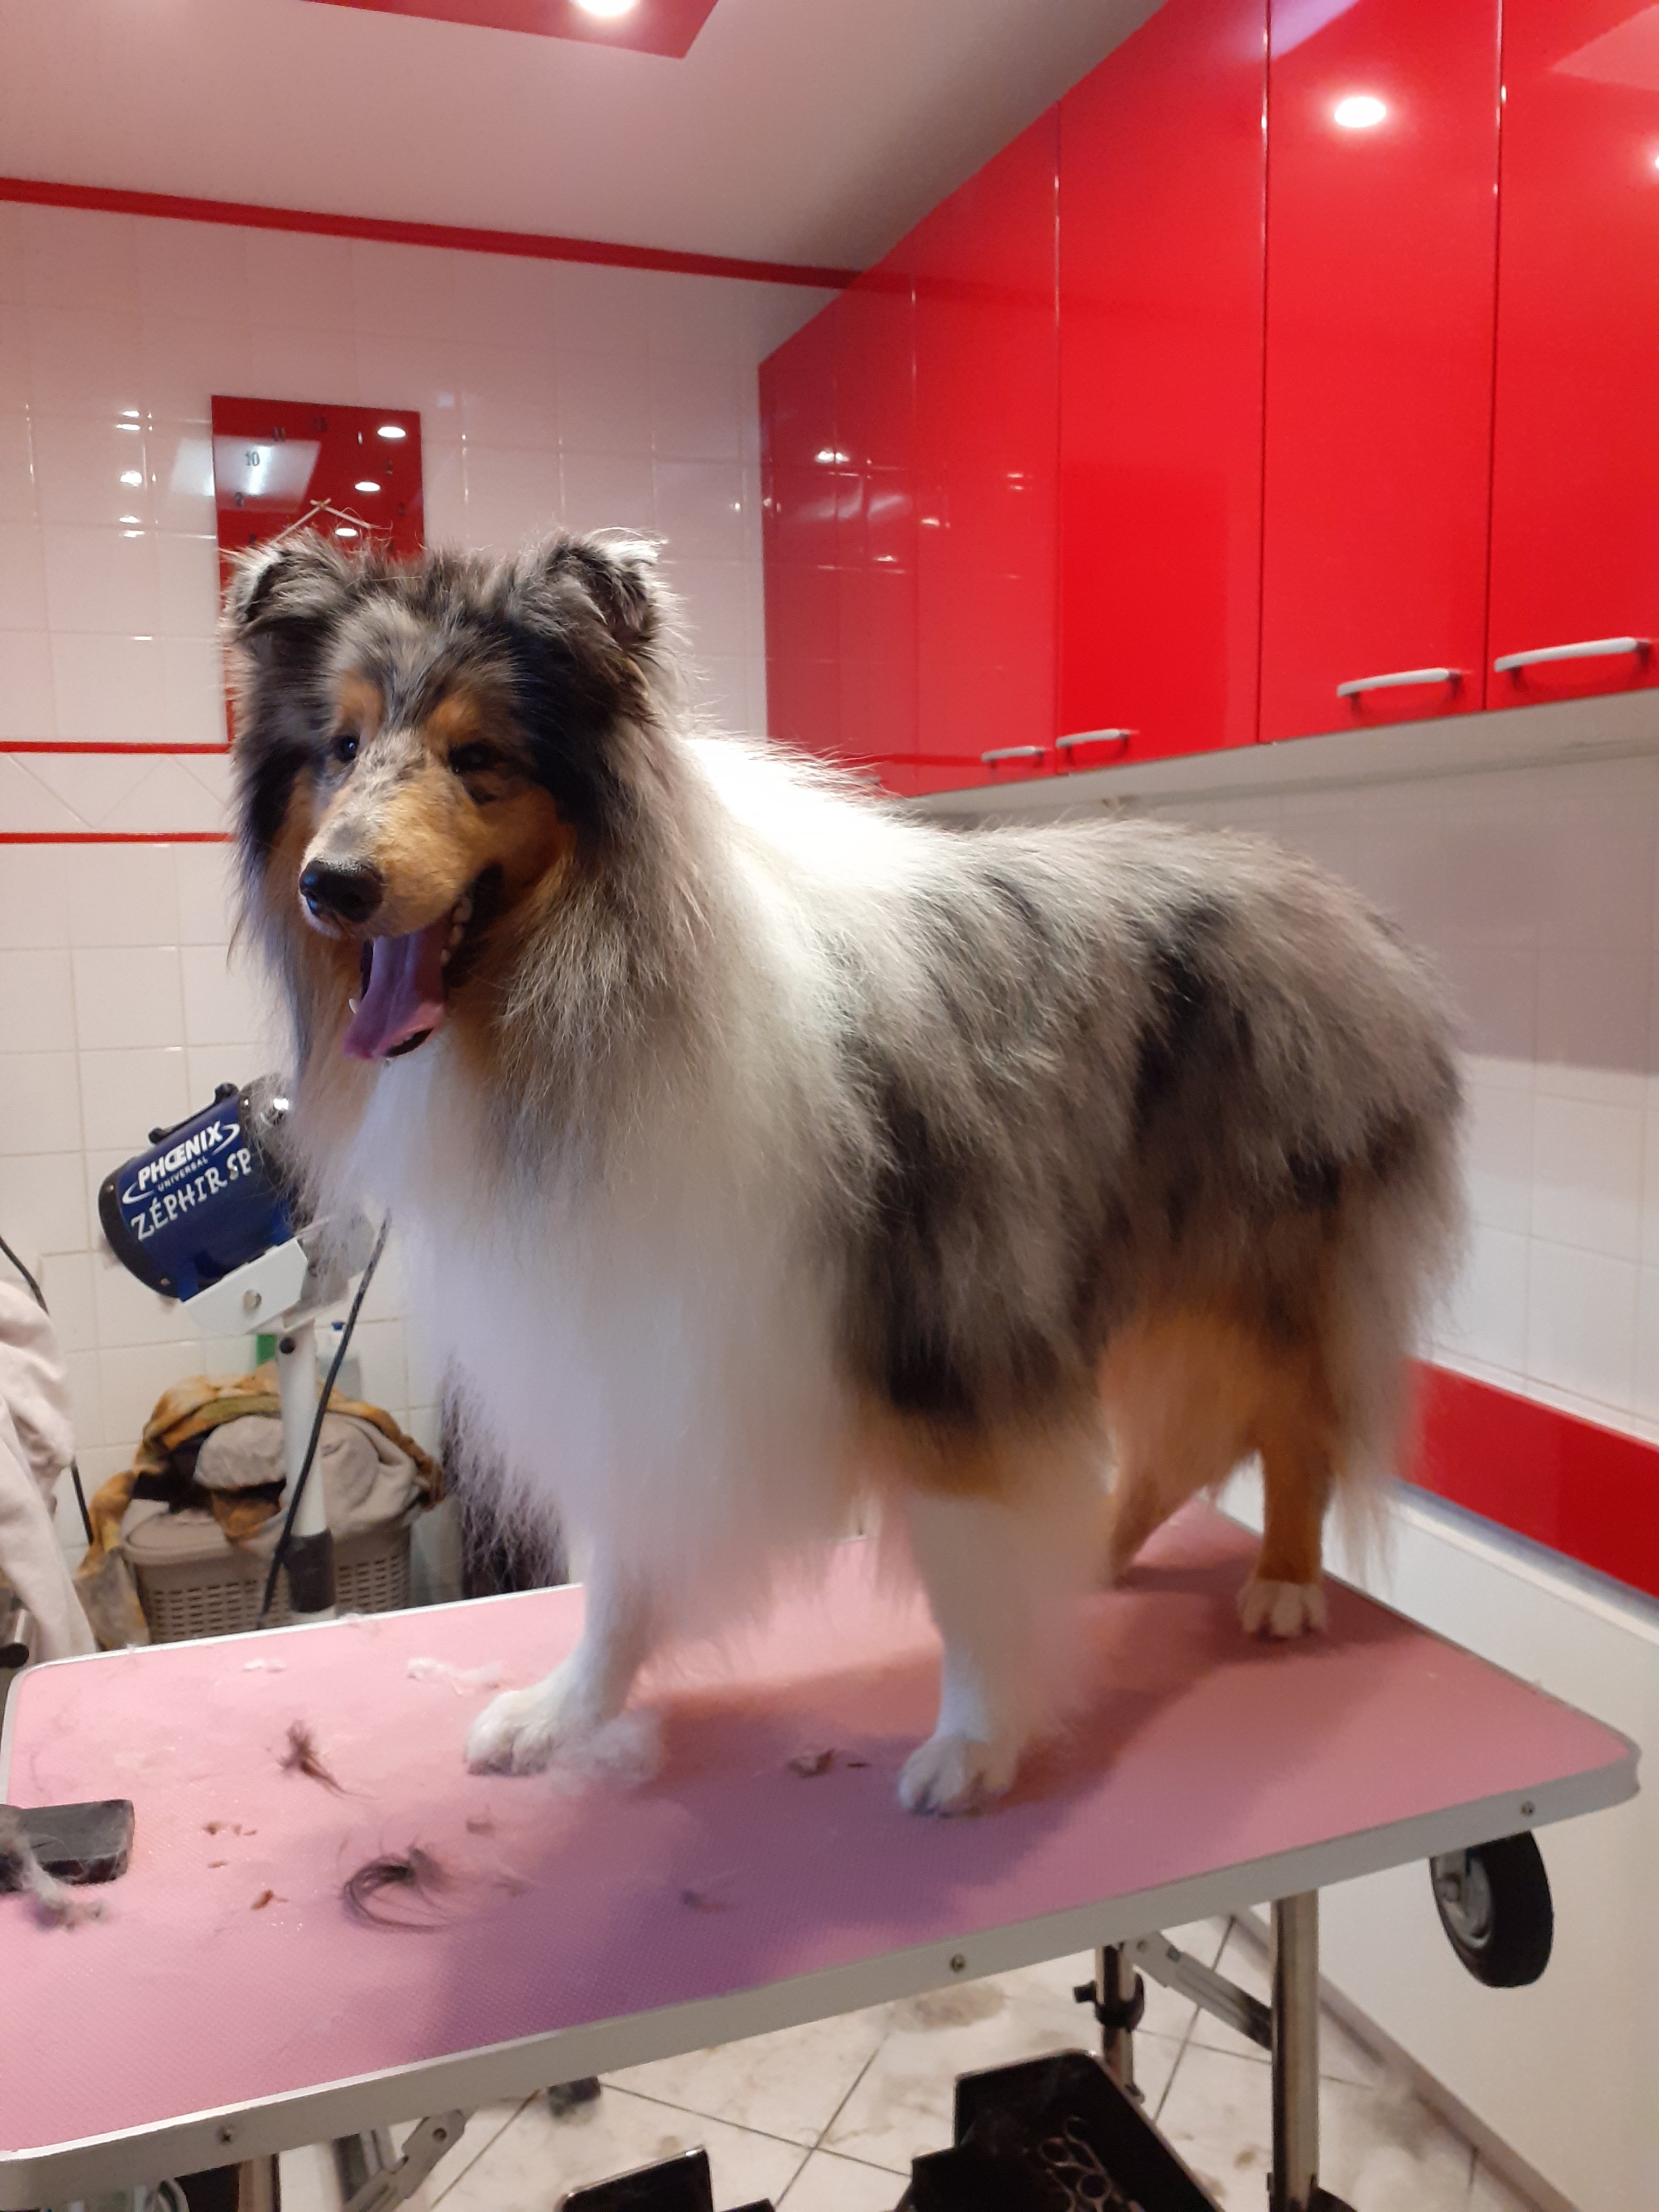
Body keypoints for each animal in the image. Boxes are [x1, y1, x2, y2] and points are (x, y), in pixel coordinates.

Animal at [225, 529, 1463, 1815]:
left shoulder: (940, 1317)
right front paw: (564, 1713)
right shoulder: (639, 1343)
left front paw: (976, 1743)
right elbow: (623, 1570)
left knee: (1297, 1423)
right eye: (342, 746)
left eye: (480, 756)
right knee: (1171, 1455)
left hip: (1269, 1260)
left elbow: (967, 1554)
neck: (585, 1005)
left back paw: (1285, 1581)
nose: (334, 885)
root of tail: (1328, 892)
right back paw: (1093, 1561)